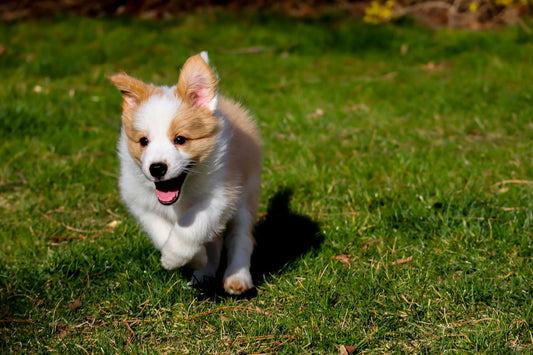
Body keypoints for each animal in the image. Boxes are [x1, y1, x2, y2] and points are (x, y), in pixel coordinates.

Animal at [110, 52, 262, 294]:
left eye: (180, 139)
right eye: (143, 141)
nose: (156, 168)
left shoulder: (221, 195)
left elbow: (191, 225)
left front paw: (174, 257)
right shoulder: (139, 201)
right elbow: (161, 232)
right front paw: (195, 258)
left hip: (246, 194)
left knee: (241, 237)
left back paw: (237, 277)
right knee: (217, 241)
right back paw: (204, 273)